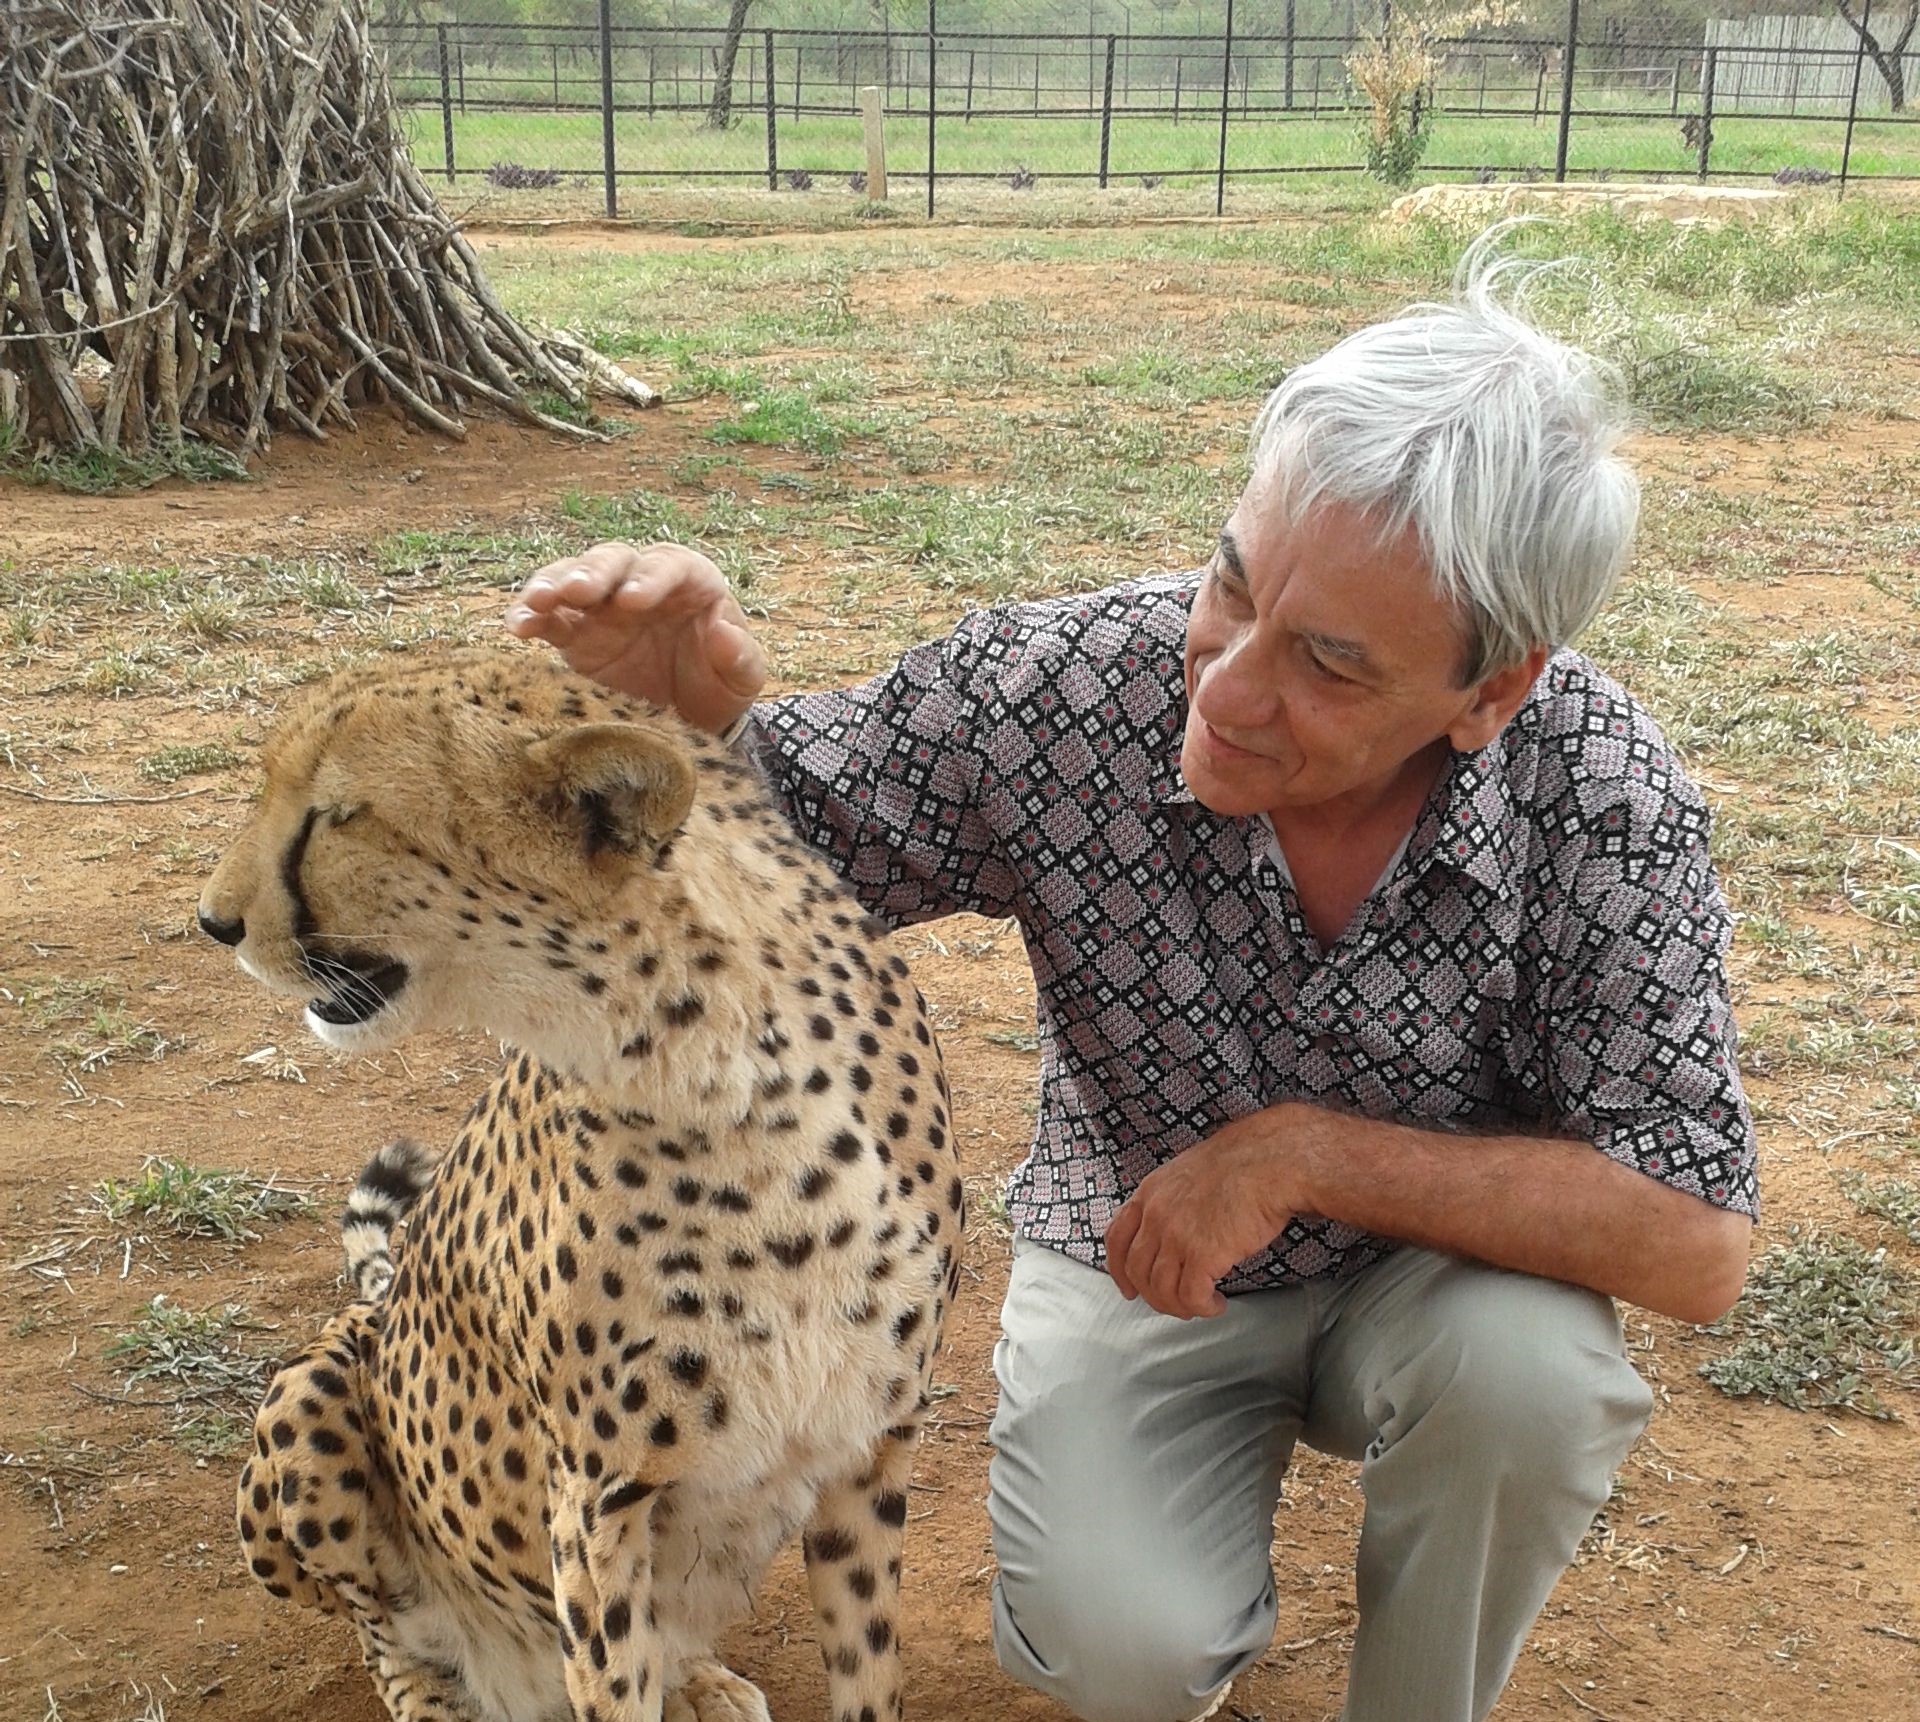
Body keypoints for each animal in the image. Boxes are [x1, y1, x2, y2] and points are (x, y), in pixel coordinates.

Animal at [198, 652, 960, 1720]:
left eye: (339, 816)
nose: (212, 920)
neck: (725, 1076)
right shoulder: (596, 1501)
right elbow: (611, 1683)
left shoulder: (866, 1447)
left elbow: (865, 1676)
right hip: (316, 1402)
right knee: (385, 1628)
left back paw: (700, 1683)